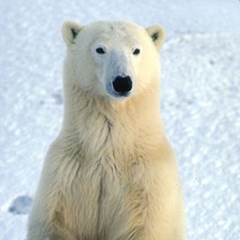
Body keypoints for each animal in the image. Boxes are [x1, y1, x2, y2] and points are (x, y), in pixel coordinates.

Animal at [27, 20, 186, 240]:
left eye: (136, 50)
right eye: (100, 49)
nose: (122, 82)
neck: (108, 149)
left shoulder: (149, 183)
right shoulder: (63, 178)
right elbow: (55, 223)